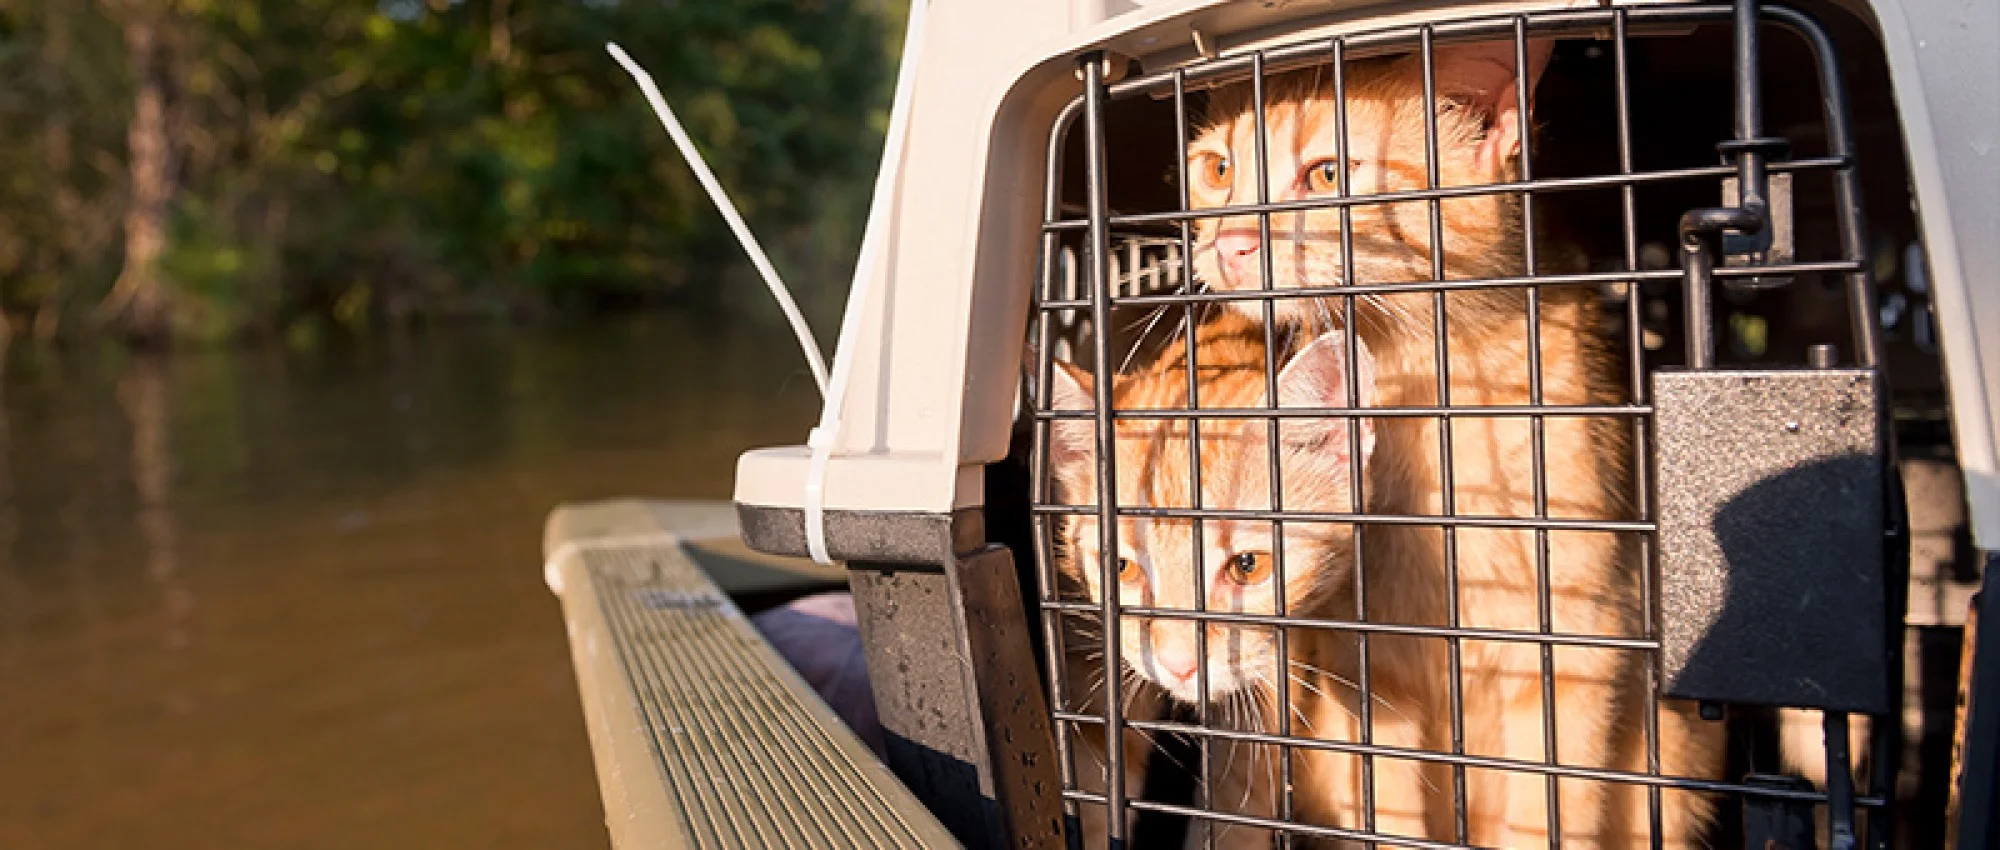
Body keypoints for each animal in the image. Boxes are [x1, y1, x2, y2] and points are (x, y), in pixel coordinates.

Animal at [1176, 39, 1728, 840]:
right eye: (1217, 169)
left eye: (1329, 175)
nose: (1232, 243)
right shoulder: (1372, 675)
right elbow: (1393, 817)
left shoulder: (1576, 652)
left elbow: (1552, 812)